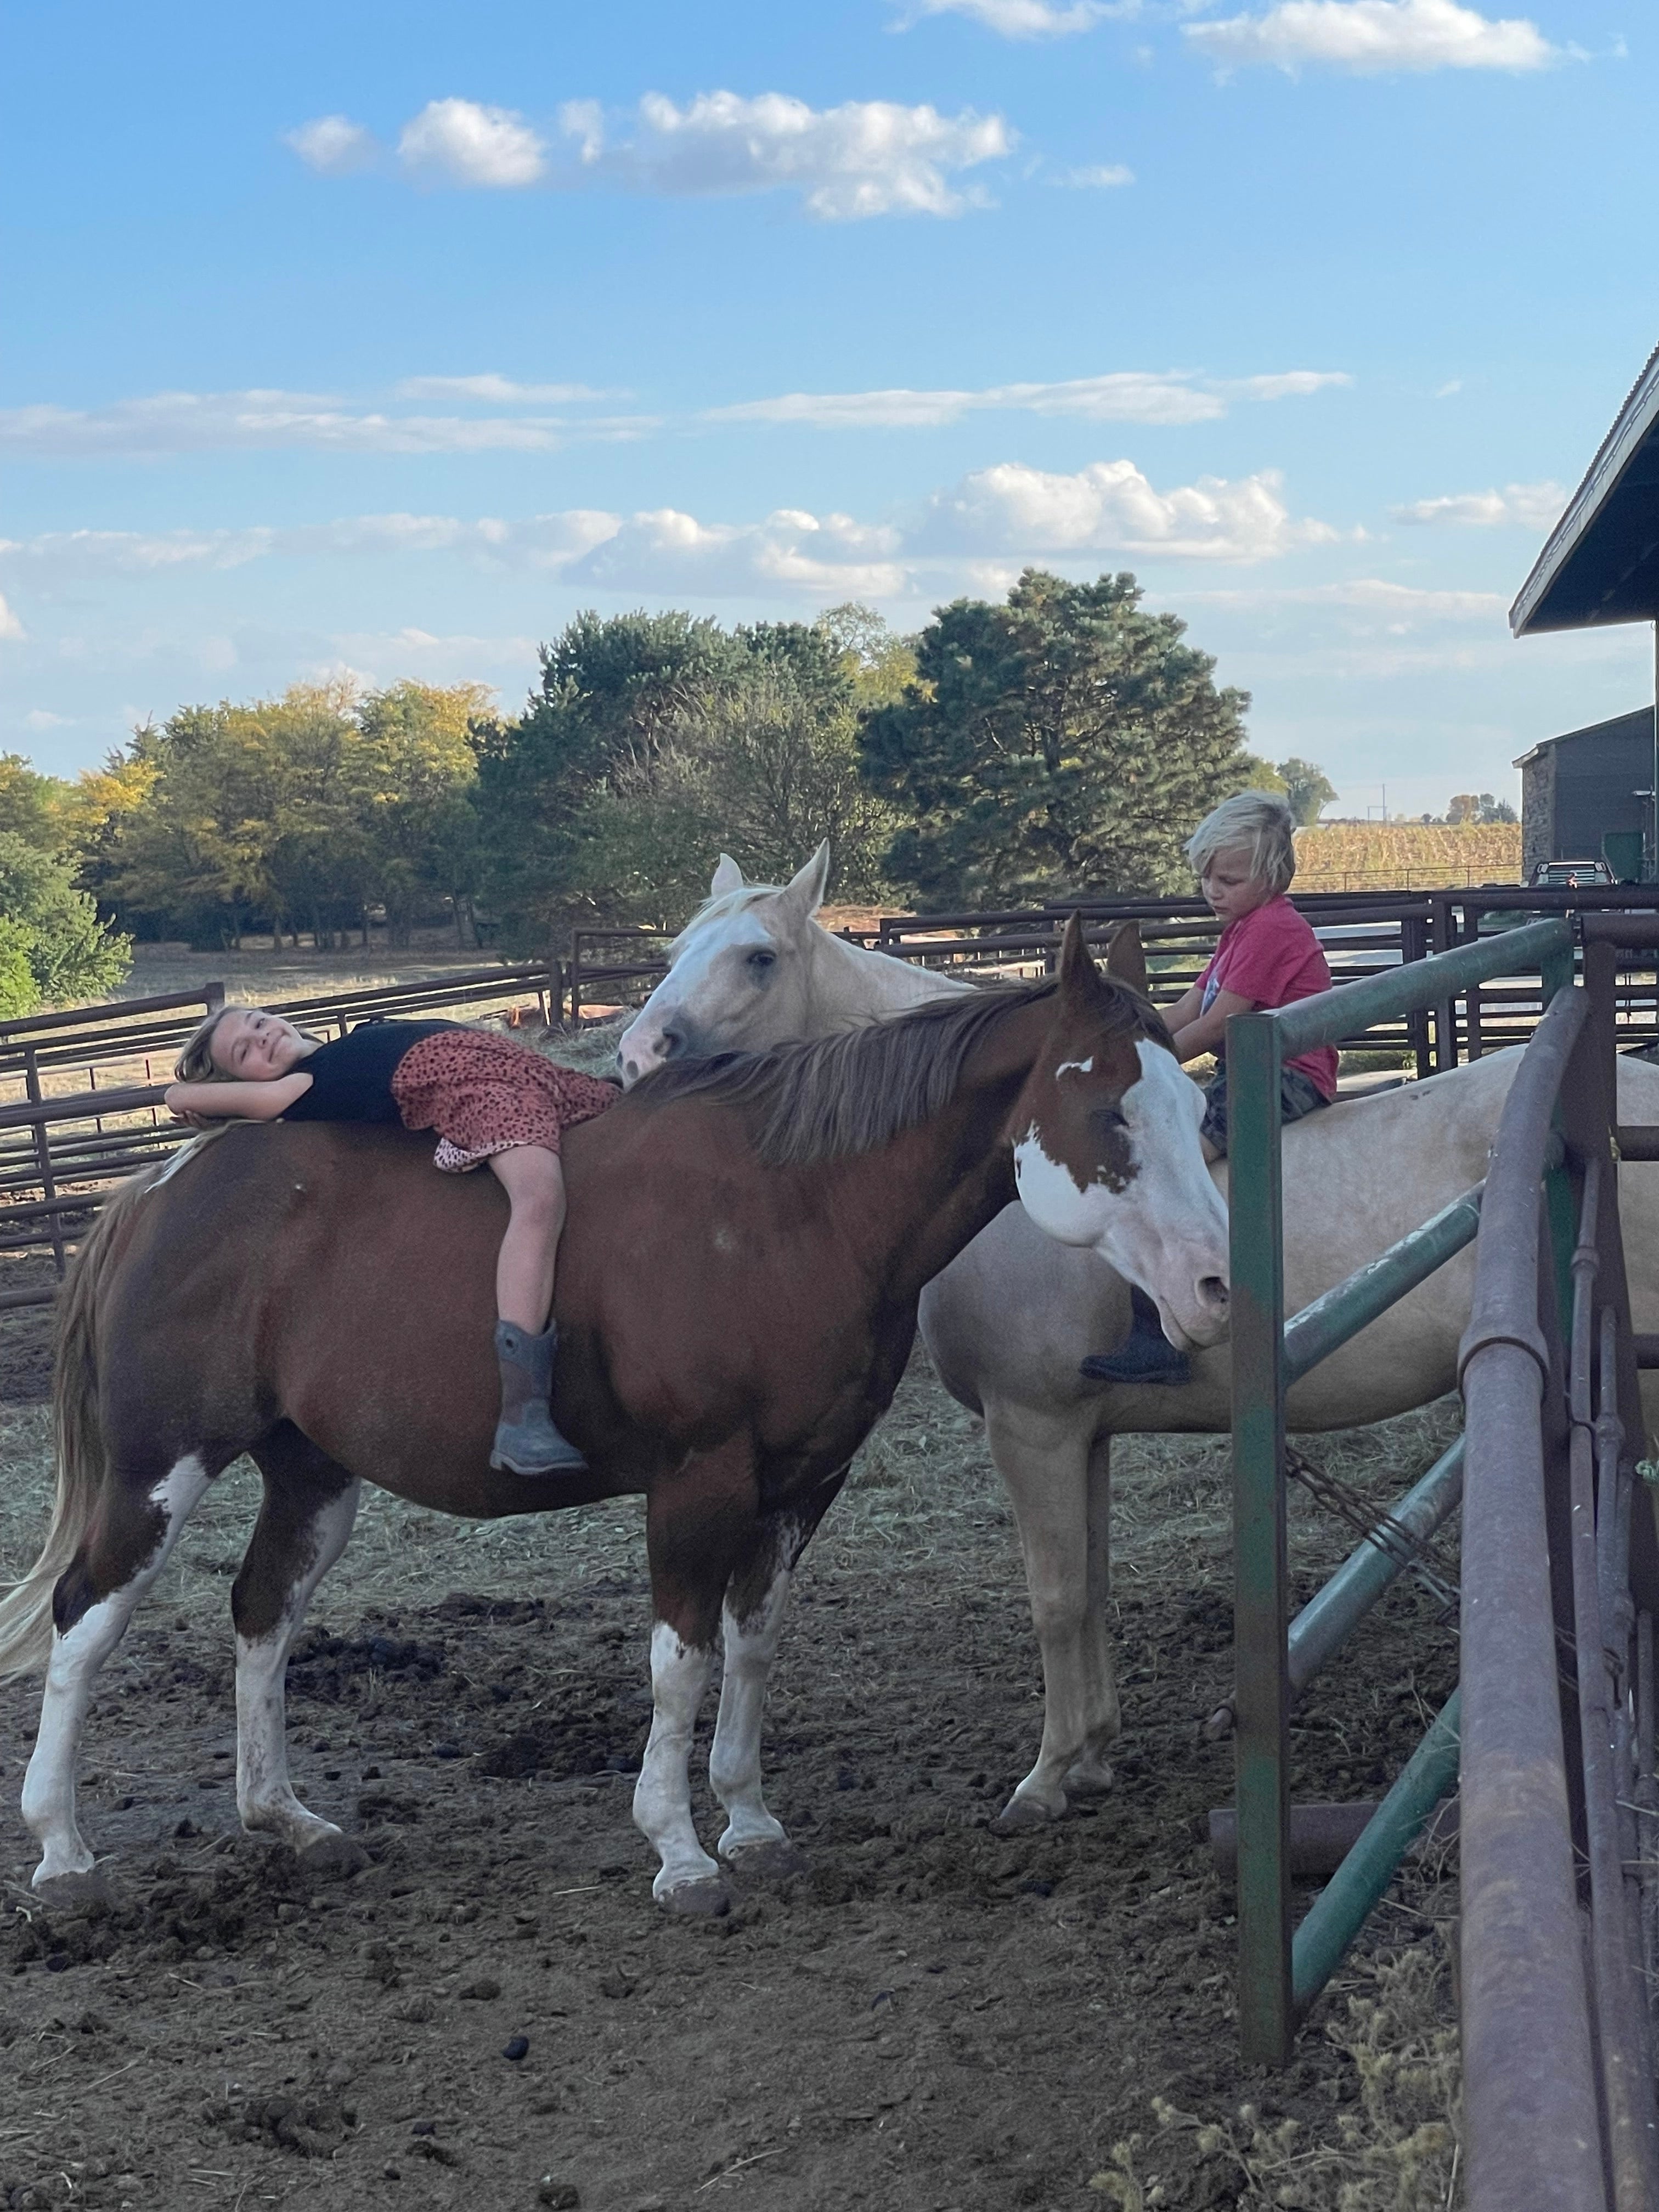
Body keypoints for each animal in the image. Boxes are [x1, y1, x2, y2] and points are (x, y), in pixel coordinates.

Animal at [0, 922, 1229, 1914]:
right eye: (1109, 1110)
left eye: (1194, 1104)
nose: (1215, 1287)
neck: (788, 1210)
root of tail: (159, 1187)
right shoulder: (698, 1479)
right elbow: (679, 1662)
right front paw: (680, 1853)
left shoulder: (801, 1483)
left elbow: (750, 1644)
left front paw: (753, 1824)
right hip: (160, 1466)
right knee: (85, 1617)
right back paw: (63, 1855)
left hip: (311, 1473)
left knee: (262, 1611)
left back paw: (286, 1822)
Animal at [618, 849, 1659, 1828]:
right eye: (672, 952)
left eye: (757, 958)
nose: (635, 1057)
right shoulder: (1084, 1433)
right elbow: (1092, 1587)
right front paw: (1091, 1754)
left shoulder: (1031, 1428)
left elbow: (1054, 1599)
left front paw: (1045, 1778)